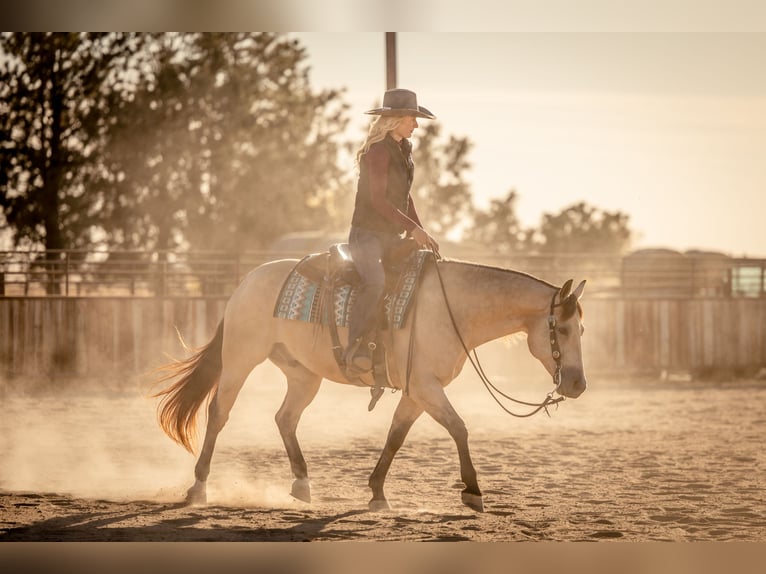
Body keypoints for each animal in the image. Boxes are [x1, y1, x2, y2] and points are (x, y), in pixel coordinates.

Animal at [154, 250, 588, 516]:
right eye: (564, 329)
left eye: (582, 329)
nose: (578, 385)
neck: (453, 309)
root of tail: (246, 282)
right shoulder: (426, 386)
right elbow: (459, 428)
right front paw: (472, 492)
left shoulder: (416, 391)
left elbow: (396, 435)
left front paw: (377, 492)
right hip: (241, 359)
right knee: (219, 413)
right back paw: (198, 487)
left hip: (303, 374)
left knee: (285, 418)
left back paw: (302, 484)